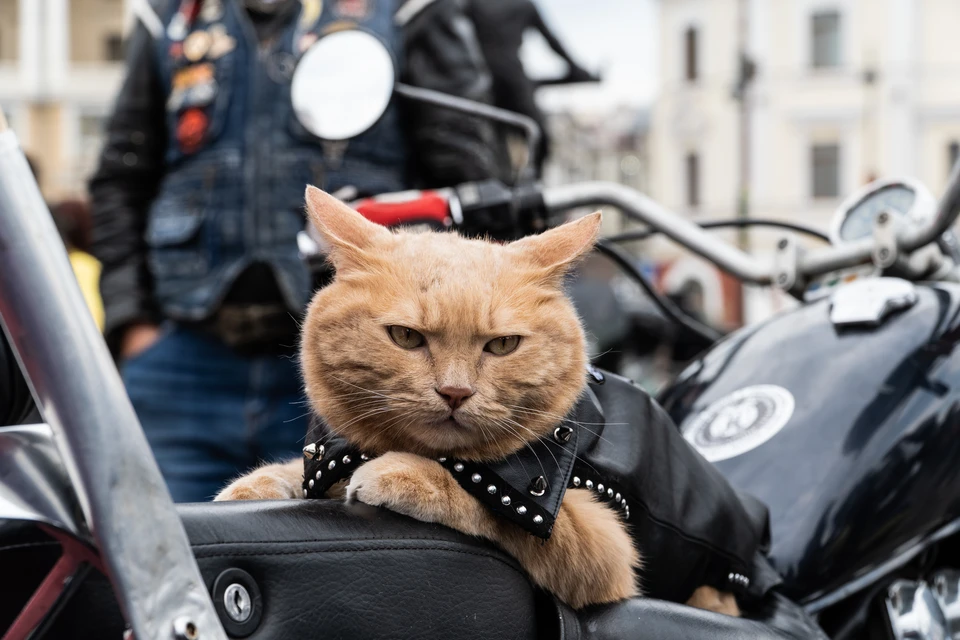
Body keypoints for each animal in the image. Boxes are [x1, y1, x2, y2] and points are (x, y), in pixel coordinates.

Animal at [218, 186, 740, 616]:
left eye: (503, 345)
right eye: (406, 337)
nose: (455, 392)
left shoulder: (597, 541)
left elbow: (478, 495)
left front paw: (407, 474)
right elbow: (294, 474)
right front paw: (258, 485)